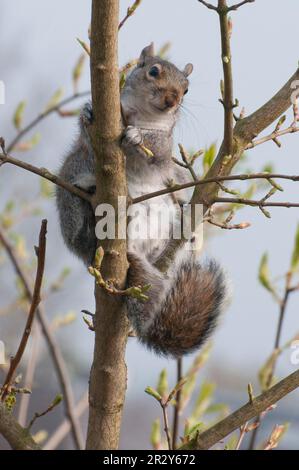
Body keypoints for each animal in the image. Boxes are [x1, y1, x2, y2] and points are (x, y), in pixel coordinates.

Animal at [56, 44, 230, 358]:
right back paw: (88, 203)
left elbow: (156, 148)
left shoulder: (164, 146)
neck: (141, 115)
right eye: (153, 71)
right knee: (78, 224)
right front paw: (87, 111)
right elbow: (87, 136)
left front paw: (138, 136)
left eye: (186, 89)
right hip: (70, 194)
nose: (172, 100)